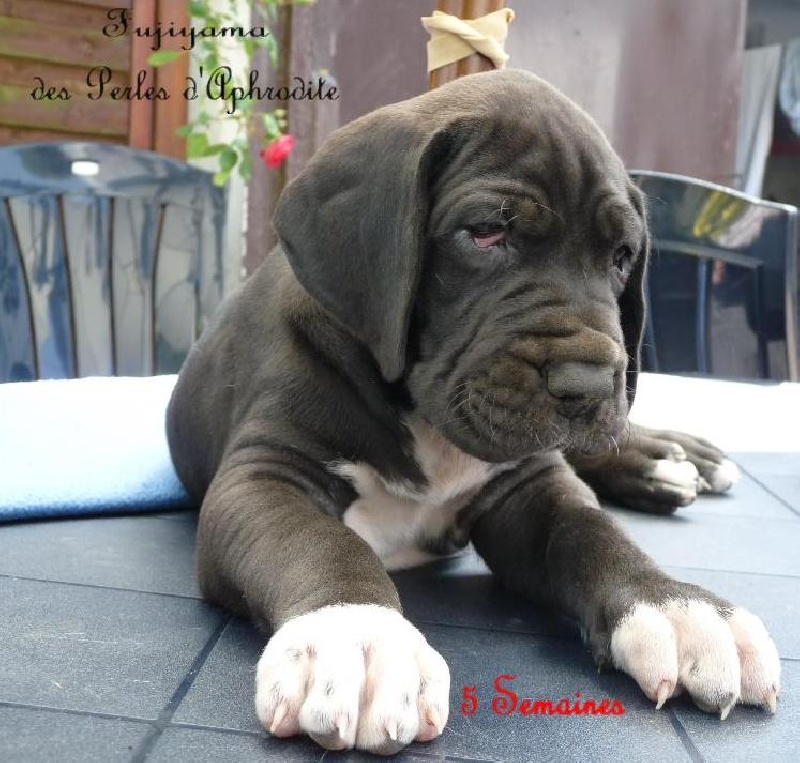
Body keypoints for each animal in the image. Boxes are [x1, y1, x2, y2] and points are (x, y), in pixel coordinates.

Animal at [166, 69, 780, 755]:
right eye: (487, 231)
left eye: (622, 257)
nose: (592, 382)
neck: (424, 418)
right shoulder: (267, 474)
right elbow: (318, 541)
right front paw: (358, 636)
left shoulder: (531, 485)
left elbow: (594, 532)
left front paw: (681, 608)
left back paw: (668, 455)